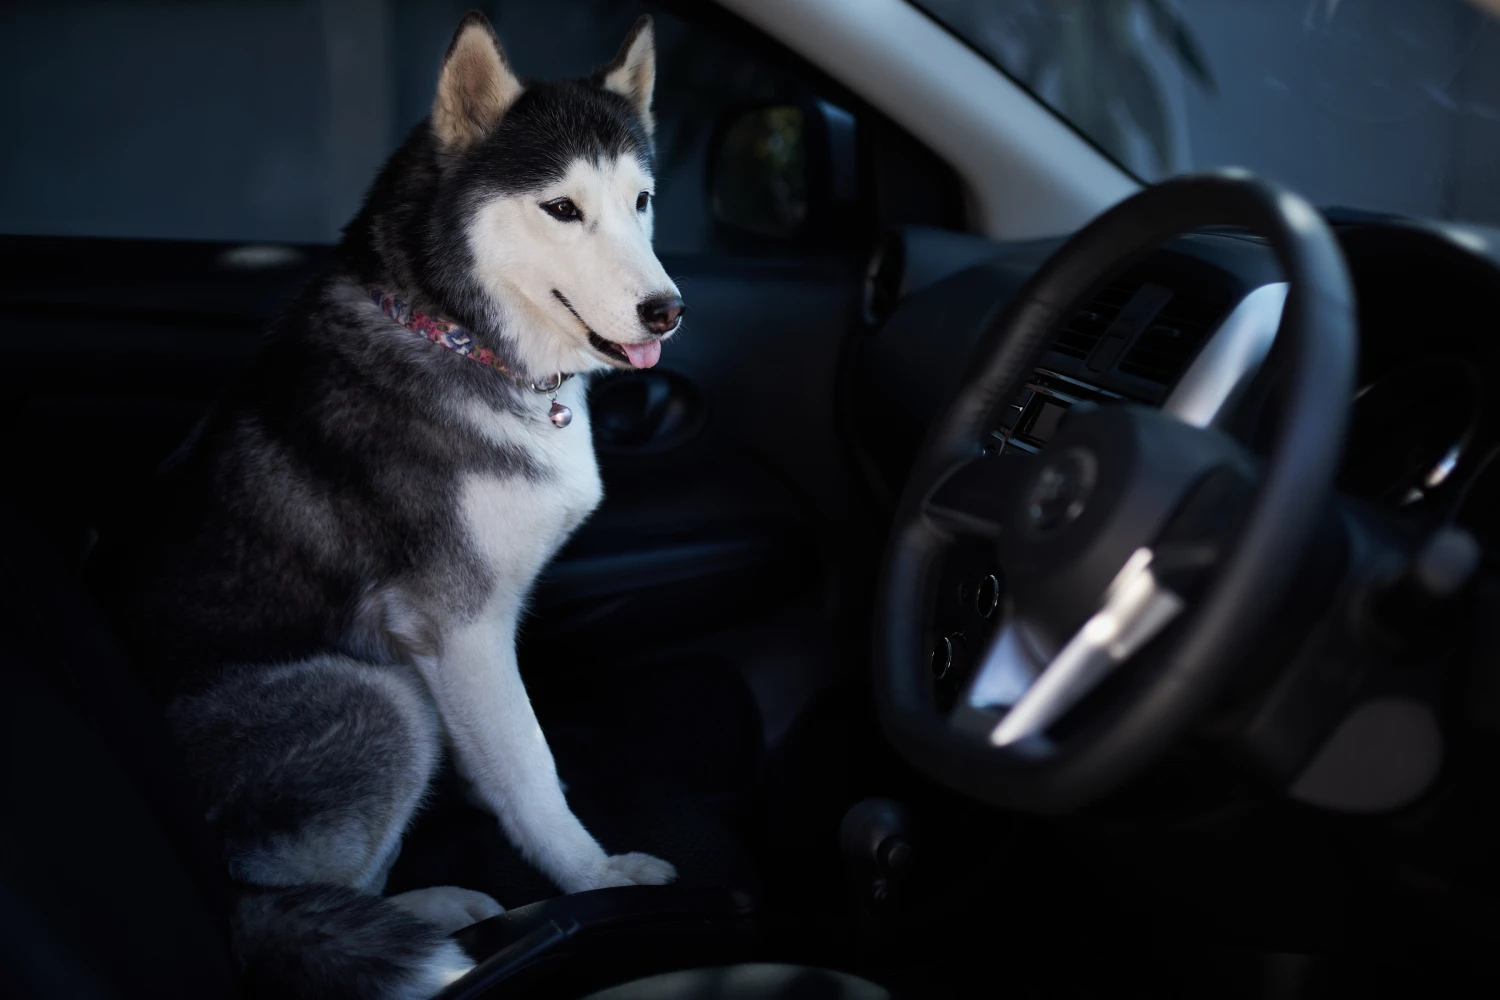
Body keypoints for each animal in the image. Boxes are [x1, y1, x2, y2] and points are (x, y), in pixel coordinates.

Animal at [93, 9, 681, 1000]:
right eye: (561, 209)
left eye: (640, 202)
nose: (666, 310)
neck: (454, 334)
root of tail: (218, 900)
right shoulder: (458, 627)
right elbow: (531, 765)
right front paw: (591, 875)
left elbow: (505, 754)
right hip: (380, 697)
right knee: (305, 899)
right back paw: (419, 916)